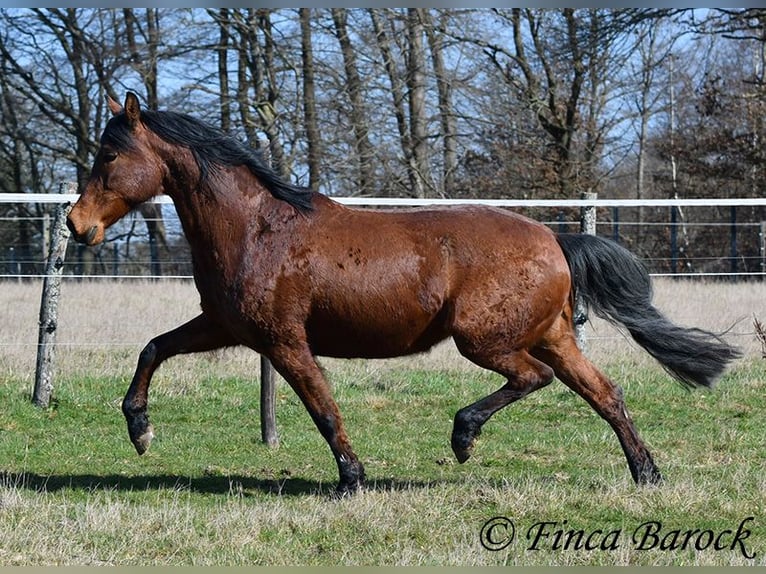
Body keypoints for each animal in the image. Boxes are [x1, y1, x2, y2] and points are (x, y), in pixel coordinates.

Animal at [67, 92, 741, 495]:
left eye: (110, 155)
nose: (78, 226)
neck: (258, 228)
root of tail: (553, 238)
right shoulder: (226, 327)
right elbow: (153, 349)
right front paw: (140, 430)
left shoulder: (284, 342)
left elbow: (323, 408)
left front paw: (352, 480)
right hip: (551, 336)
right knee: (604, 392)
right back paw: (647, 474)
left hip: (484, 340)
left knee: (535, 379)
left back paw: (464, 437)